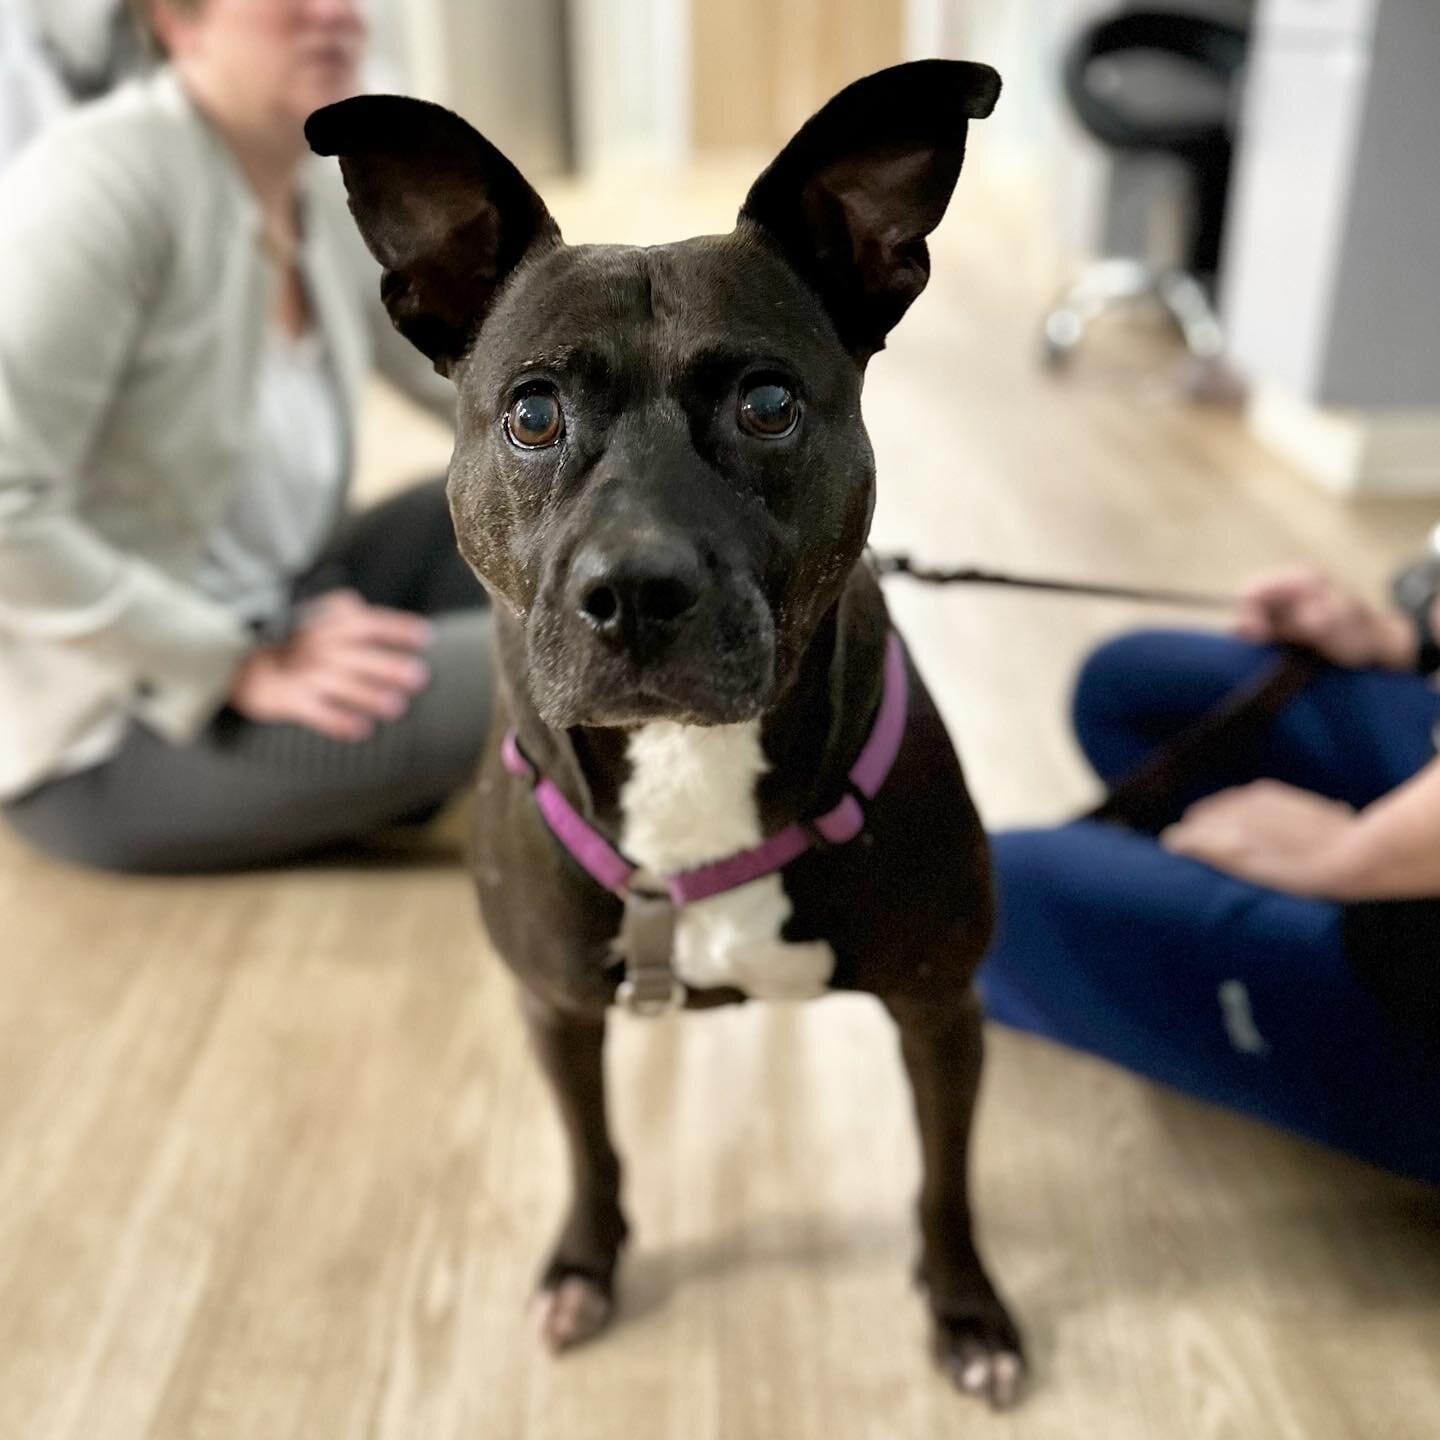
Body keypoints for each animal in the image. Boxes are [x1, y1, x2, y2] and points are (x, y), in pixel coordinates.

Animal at [311, 59, 1025, 1405]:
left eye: (768, 403)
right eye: (533, 414)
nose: (636, 591)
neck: (691, 767)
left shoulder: (940, 1008)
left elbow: (947, 1181)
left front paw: (967, 1312)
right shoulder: (554, 1010)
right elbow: (591, 1153)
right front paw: (585, 1265)